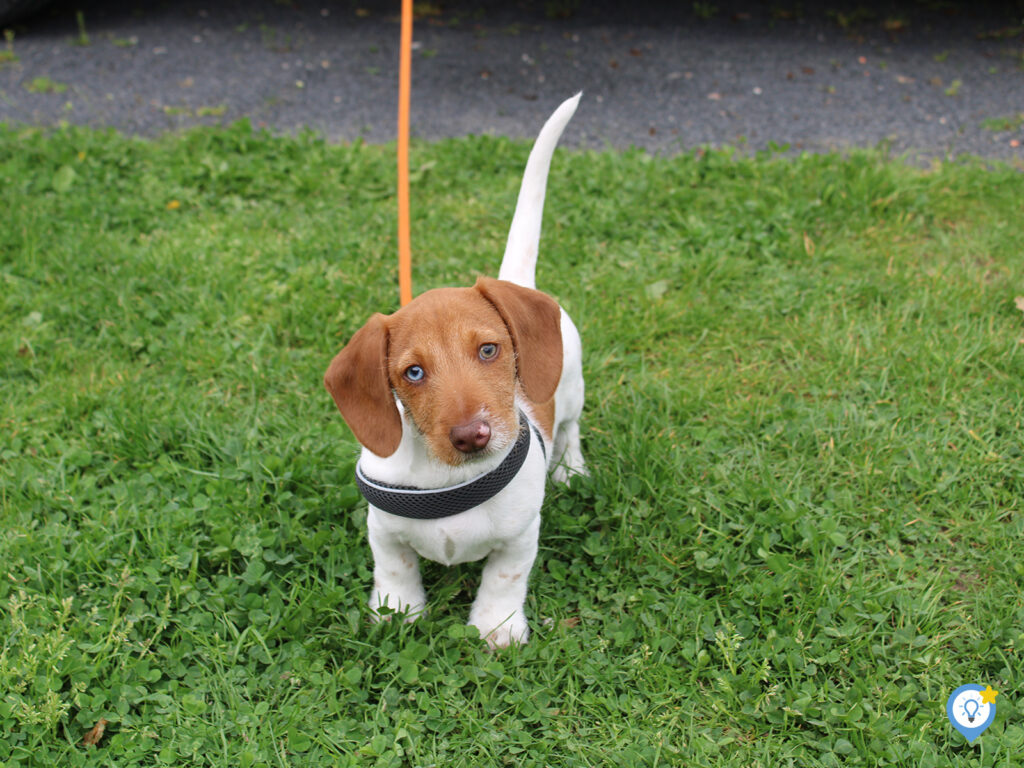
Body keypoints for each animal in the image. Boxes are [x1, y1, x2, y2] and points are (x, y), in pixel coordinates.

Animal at [323, 94, 589, 651]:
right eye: (413, 372)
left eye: (489, 349)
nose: (471, 436)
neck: (452, 480)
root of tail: (516, 280)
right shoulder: (383, 530)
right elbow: (395, 569)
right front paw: (397, 612)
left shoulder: (519, 537)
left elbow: (504, 580)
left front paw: (497, 628)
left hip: (572, 386)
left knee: (572, 426)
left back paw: (571, 468)